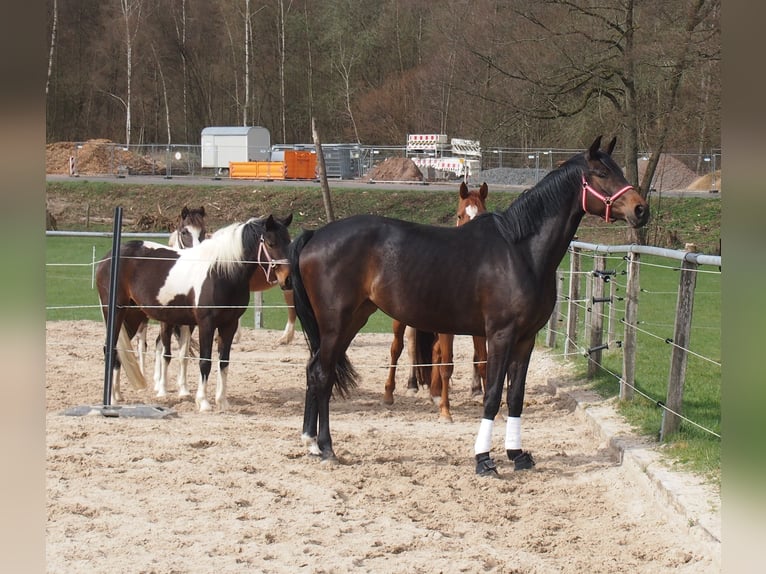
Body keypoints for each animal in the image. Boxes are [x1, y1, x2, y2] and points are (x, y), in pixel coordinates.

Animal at [96, 214, 293, 411]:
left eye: (288, 242)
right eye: (271, 243)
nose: (287, 279)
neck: (221, 272)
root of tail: (108, 257)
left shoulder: (229, 325)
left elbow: (224, 362)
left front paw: (222, 402)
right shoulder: (206, 324)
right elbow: (205, 361)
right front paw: (203, 402)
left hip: (132, 316)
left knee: (119, 350)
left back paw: (117, 395)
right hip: (115, 312)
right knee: (109, 348)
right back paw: (111, 399)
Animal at [383, 181, 489, 421]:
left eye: (483, 214)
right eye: (460, 215)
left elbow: (480, 361)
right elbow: (446, 362)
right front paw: (445, 411)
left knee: (432, 351)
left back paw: (434, 392)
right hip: (402, 321)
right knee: (398, 348)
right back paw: (392, 393)